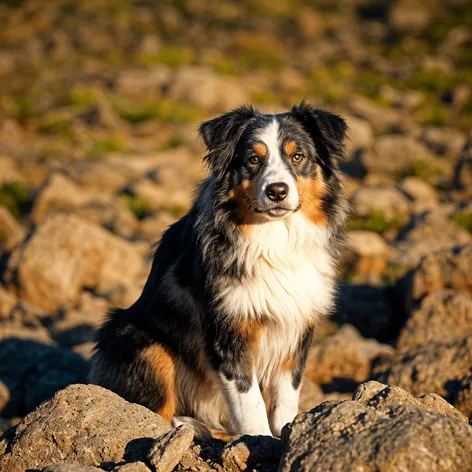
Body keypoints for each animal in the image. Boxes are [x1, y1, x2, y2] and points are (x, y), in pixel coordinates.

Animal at [90, 100, 348, 438]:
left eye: (298, 156)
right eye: (253, 159)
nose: (277, 191)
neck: (273, 240)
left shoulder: (295, 324)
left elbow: (286, 396)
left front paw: (289, 433)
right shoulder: (228, 329)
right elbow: (251, 402)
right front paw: (260, 441)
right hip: (142, 342)